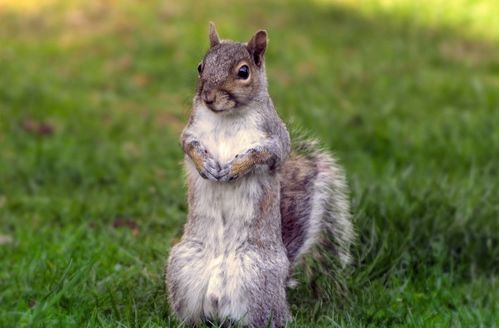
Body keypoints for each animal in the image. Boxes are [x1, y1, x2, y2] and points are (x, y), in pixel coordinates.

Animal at [166, 23, 354, 328]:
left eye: (243, 72)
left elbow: (263, 155)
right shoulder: (191, 131)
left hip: (257, 278)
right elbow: (188, 145)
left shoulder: (275, 139)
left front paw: (235, 168)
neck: (226, 117)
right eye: (200, 66)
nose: (208, 97)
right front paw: (205, 164)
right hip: (183, 268)